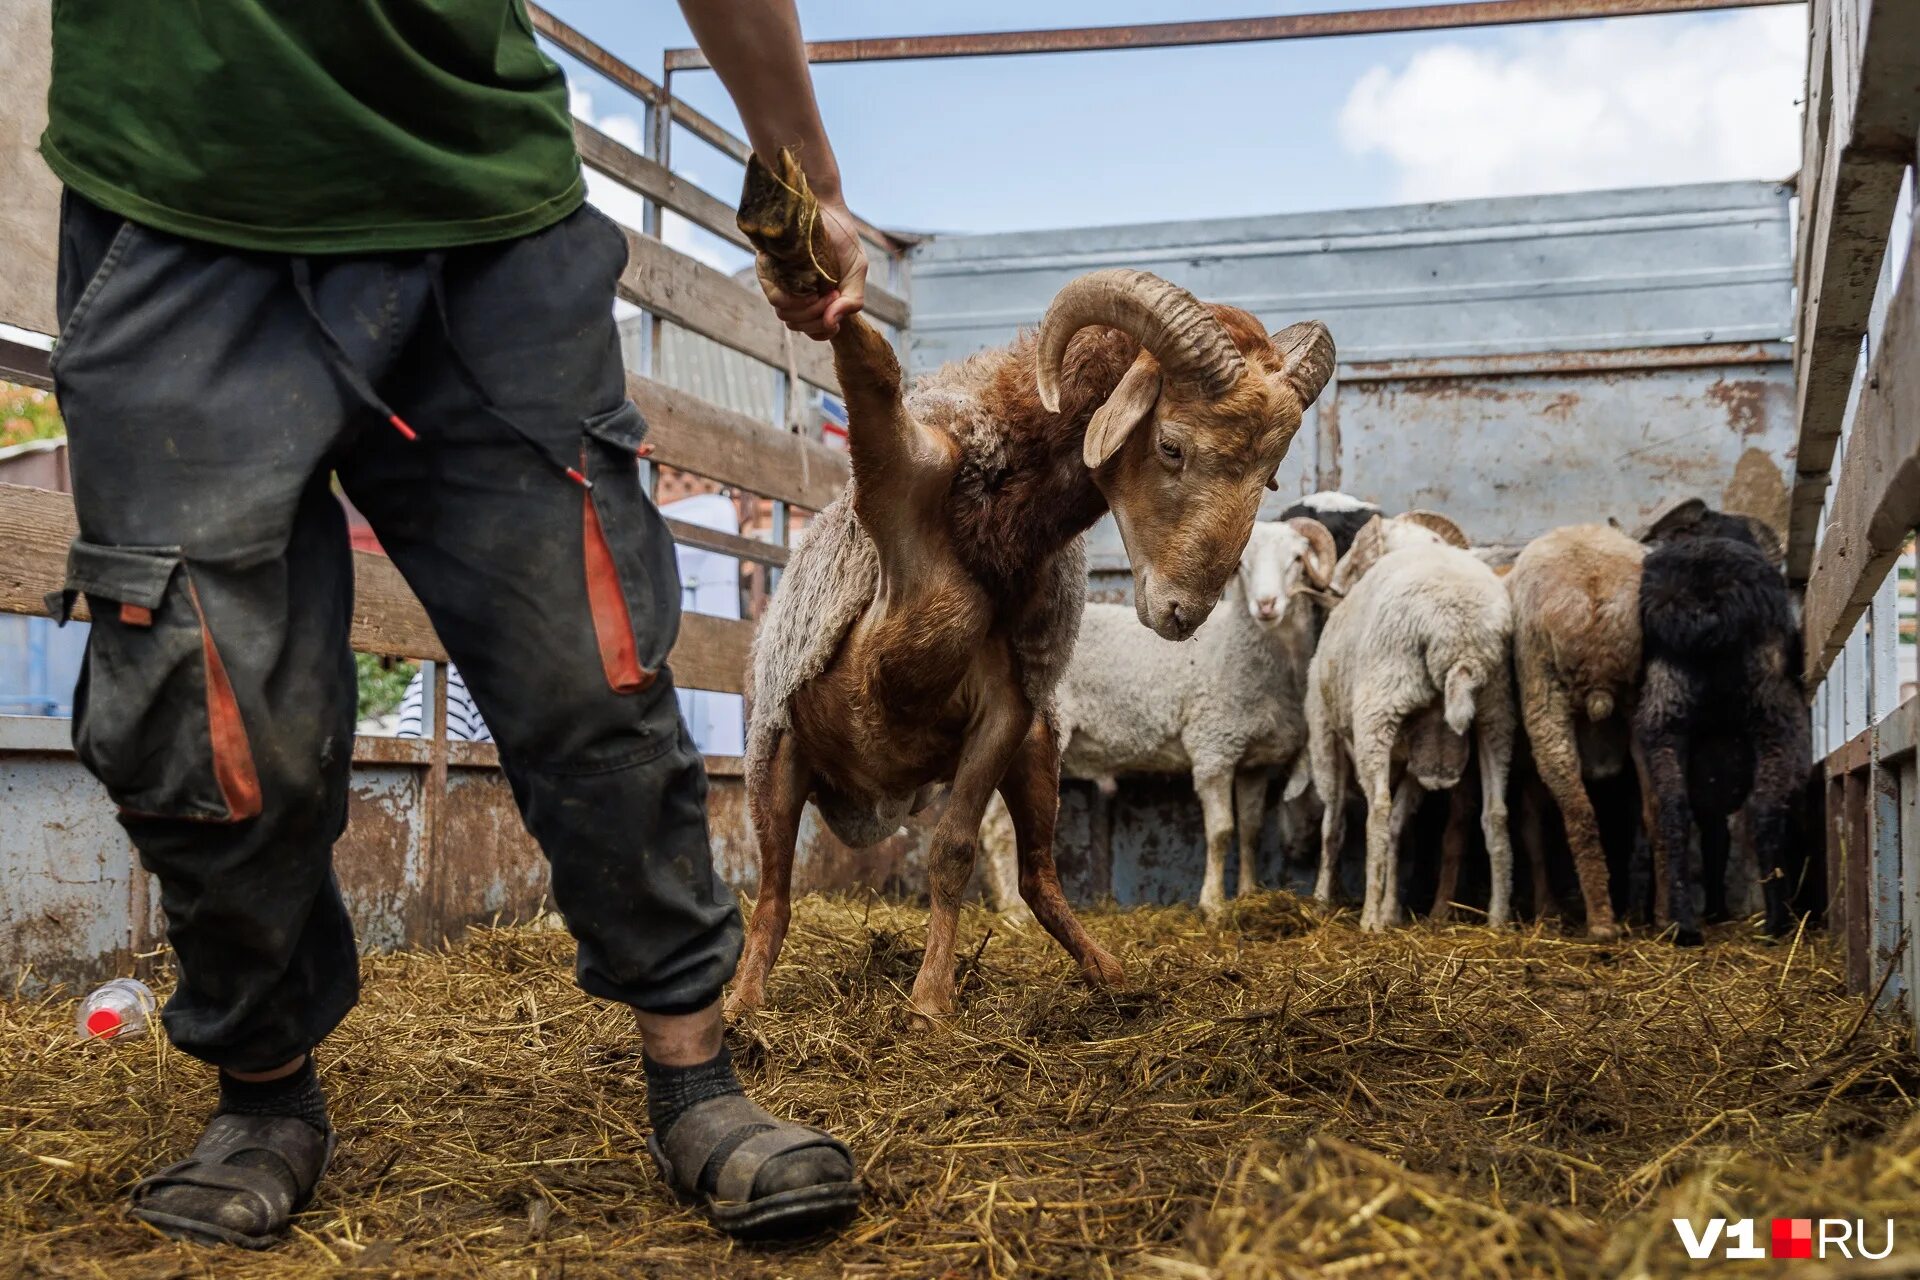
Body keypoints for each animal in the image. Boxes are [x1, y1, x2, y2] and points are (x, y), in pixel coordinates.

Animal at [1305, 510, 1512, 932]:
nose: (1333, 588)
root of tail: (1461, 638)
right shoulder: (1420, 758)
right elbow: (1402, 825)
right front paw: (1392, 910)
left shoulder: (1323, 728)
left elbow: (1334, 824)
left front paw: (1323, 902)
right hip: (1495, 713)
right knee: (1496, 813)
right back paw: (1498, 919)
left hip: (1377, 712)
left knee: (1377, 812)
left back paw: (1368, 919)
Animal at [1635, 498, 1797, 940]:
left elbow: (1712, 835)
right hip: (1771, 714)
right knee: (1765, 809)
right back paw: (1776, 924)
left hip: (1665, 712)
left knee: (1673, 811)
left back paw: (1686, 927)